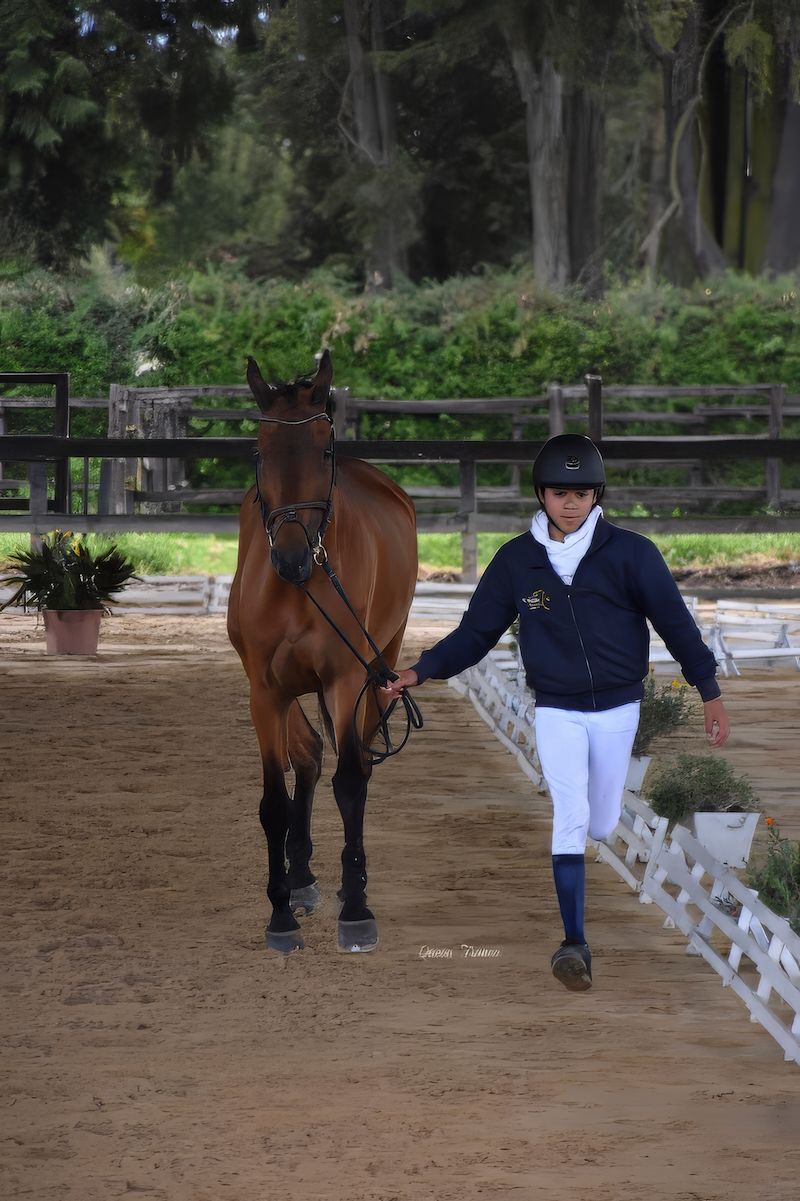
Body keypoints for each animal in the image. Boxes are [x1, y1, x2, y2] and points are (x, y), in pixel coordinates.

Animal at [227, 349, 418, 954]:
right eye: (259, 450)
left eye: (324, 449)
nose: (290, 557)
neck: (299, 588)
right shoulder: (264, 693)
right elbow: (274, 802)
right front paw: (280, 917)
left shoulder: (344, 681)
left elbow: (351, 783)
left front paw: (356, 909)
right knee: (308, 755)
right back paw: (302, 879)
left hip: (379, 665)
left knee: (348, 763)